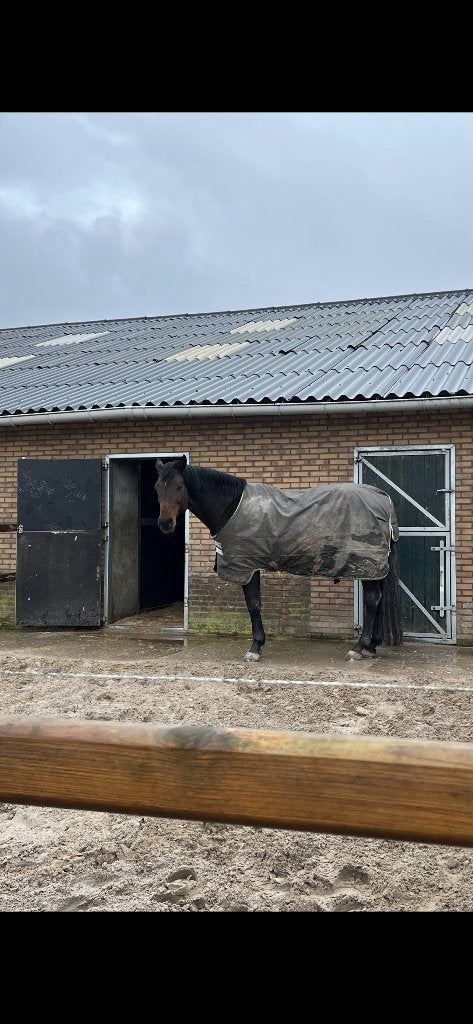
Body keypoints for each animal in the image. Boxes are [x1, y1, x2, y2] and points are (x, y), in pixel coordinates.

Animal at [155, 455, 403, 662]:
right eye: (157, 488)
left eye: (179, 486)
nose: (165, 524)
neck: (231, 508)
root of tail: (384, 499)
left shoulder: (247, 567)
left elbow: (253, 604)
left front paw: (255, 647)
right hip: (373, 568)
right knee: (378, 599)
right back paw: (371, 646)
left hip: (366, 564)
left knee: (372, 601)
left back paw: (358, 648)